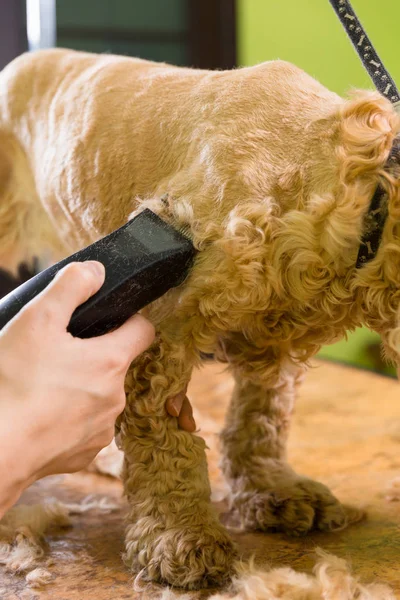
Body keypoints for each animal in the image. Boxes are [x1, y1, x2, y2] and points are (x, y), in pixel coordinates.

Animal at [0, 48, 400, 592]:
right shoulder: (163, 324)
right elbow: (165, 442)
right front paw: (182, 538)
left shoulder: (273, 339)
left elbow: (261, 417)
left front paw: (275, 490)